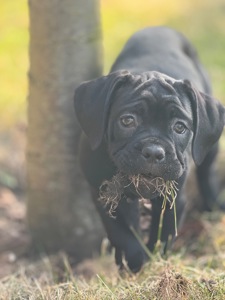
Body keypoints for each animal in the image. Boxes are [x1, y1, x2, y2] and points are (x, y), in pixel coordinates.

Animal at [74, 27, 225, 274]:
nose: (154, 151)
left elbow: (163, 234)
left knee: (206, 170)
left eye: (180, 127)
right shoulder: (102, 192)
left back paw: (214, 204)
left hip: (208, 149)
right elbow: (122, 231)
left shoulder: (173, 198)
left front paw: (155, 262)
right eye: (127, 121)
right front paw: (132, 262)